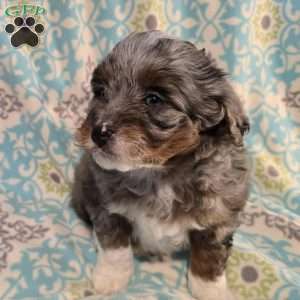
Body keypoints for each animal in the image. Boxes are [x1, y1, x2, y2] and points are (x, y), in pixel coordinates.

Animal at [71, 31, 250, 300]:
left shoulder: (218, 217)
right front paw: (111, 278)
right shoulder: (107, 208)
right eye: (101, 92)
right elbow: (114, 247)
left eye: (153, 99)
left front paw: (209, 290)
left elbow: (209, 258)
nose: (97, 132)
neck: (158, 175)